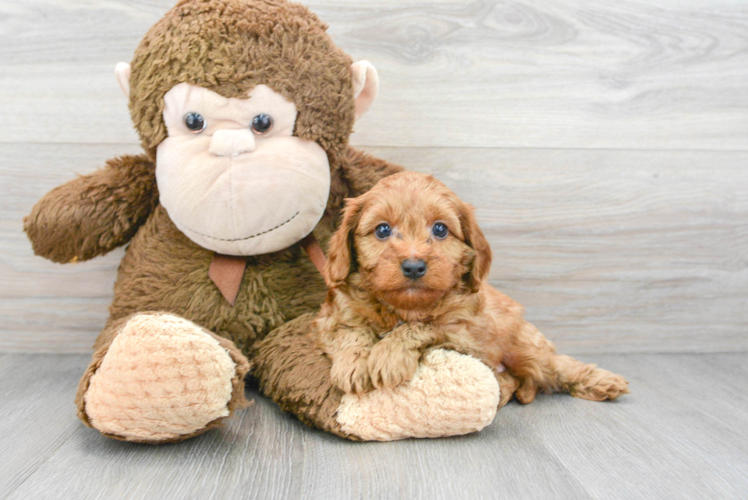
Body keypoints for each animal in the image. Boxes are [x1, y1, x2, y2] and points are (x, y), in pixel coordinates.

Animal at [312, 172, 628, 406]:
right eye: (382, 230)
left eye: (440, 229)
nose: (414, 266)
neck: (406, 307)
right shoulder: (332, 316)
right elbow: (350, 331)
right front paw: (354, 363)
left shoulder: (465, 332)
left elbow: (424, 326)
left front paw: (387, 355)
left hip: (526, 347)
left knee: (557, 365)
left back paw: (603, 381)